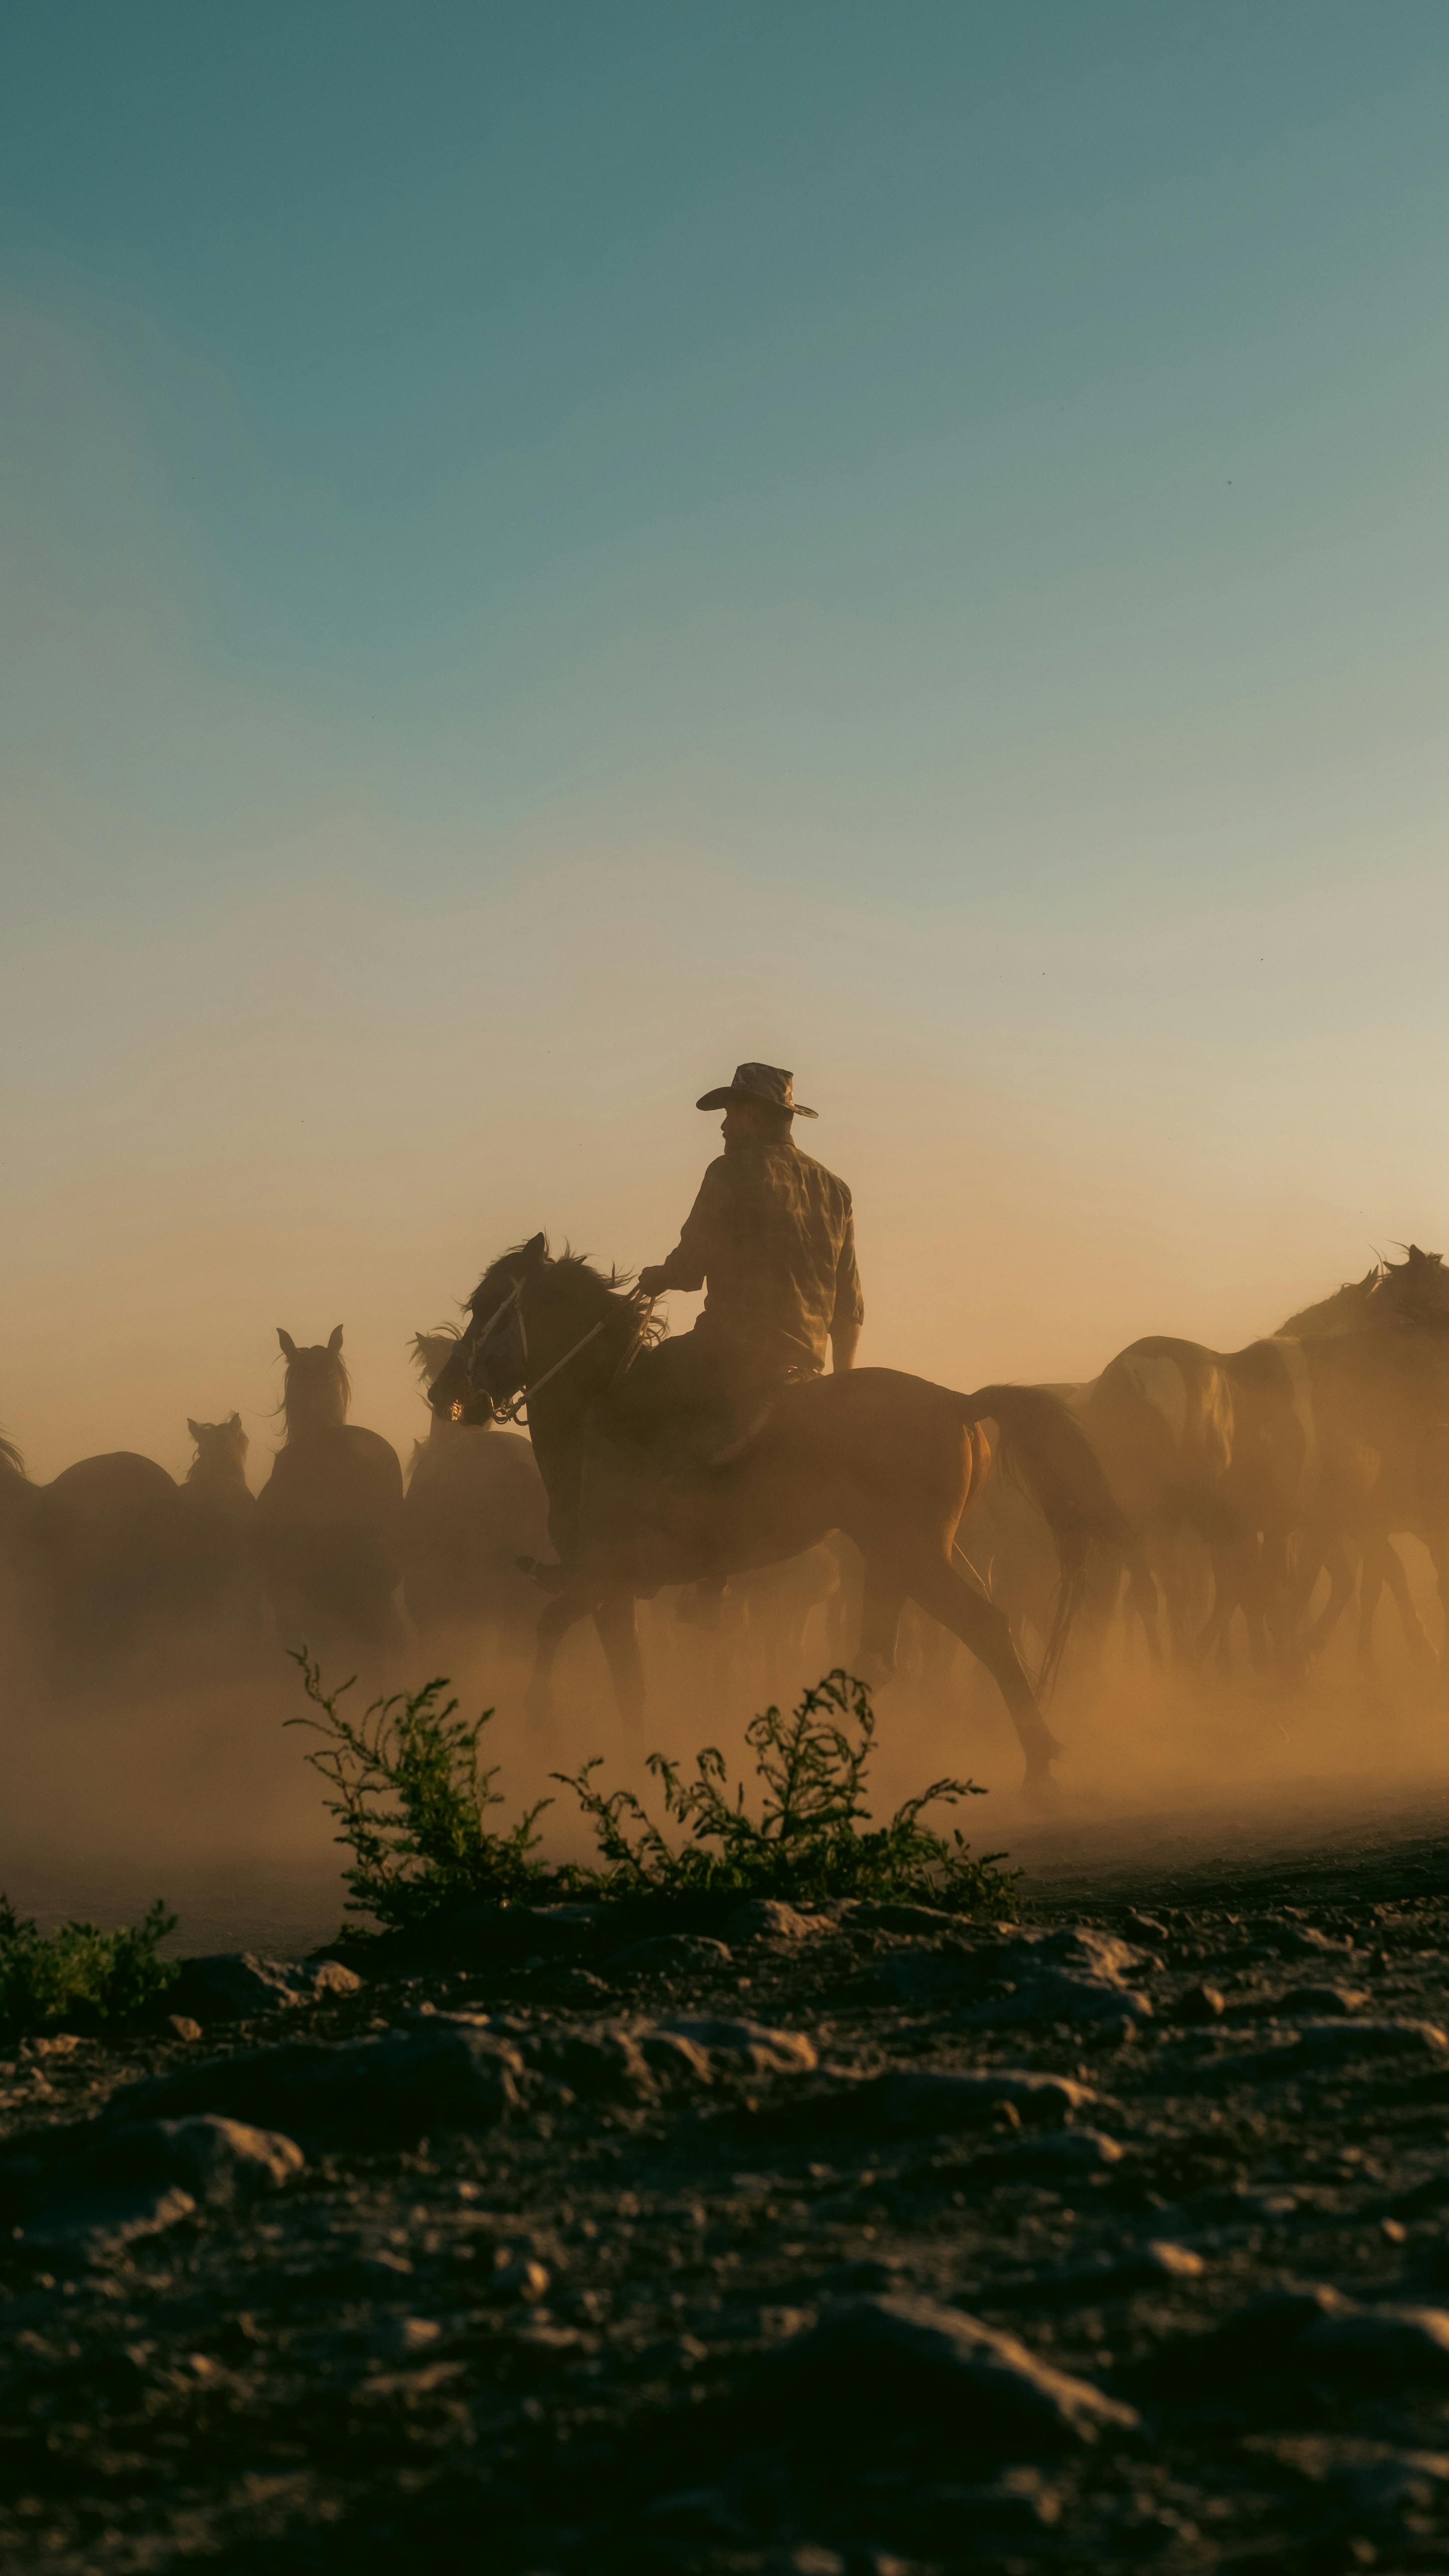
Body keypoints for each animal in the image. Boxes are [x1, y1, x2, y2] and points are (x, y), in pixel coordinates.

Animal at [423, 1236, 1145, 1803]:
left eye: (489, 1303)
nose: (444, 1392)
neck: (601, 1410)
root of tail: (956, 1401)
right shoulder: (609, 1586)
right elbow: (619, 1673)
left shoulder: (605, 1579)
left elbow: (574, 1643)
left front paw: (544, 1726)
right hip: (900, 1557)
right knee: (888, 1655)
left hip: (912, 1555)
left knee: (982, 1630)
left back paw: (1035, 1766)